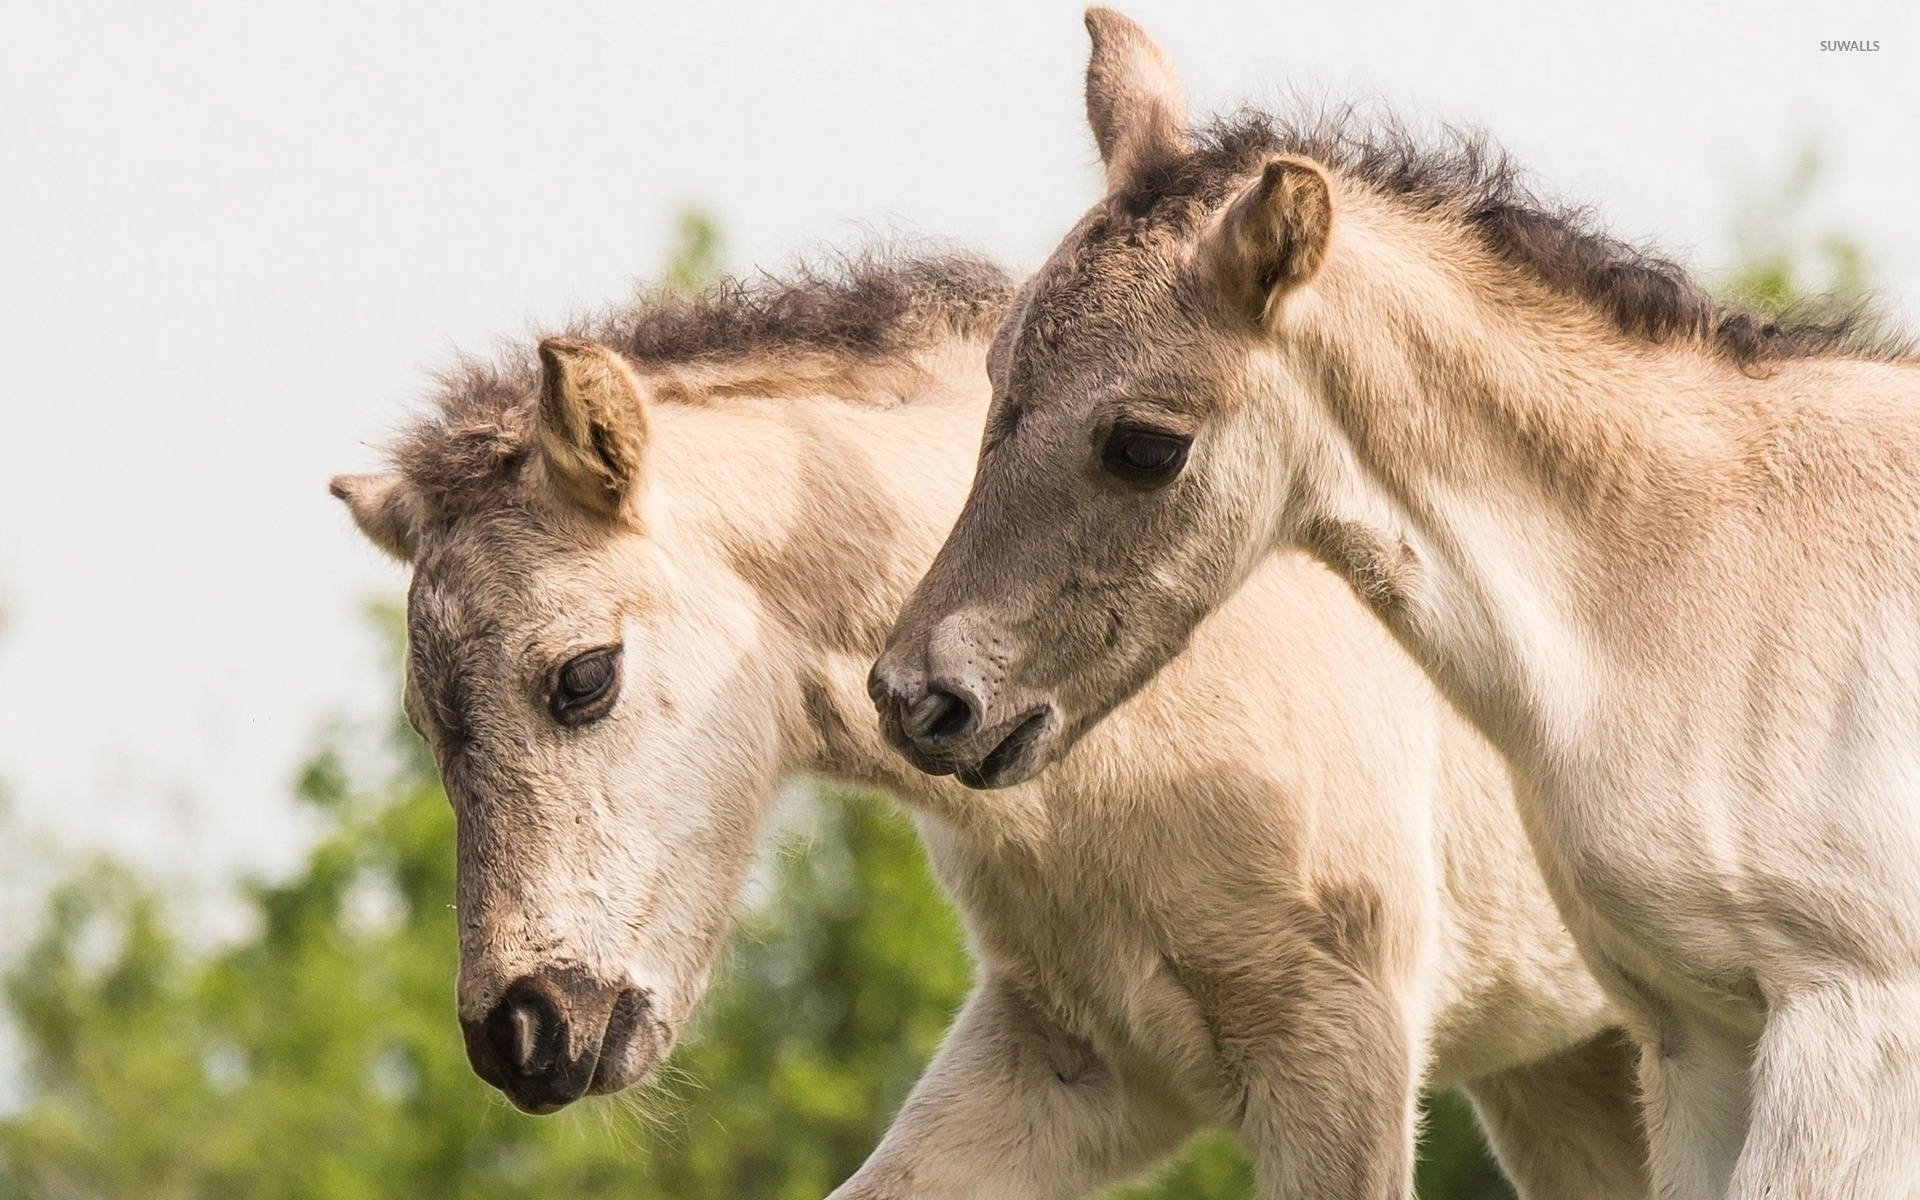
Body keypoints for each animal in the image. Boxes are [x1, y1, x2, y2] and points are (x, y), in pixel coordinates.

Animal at [334, 255, 1651, 1198]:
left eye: (583, 678)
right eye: (427, 728)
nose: (521, 1034)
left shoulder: (1339, 1052)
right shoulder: (1078, 1063)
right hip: (1564, 1067)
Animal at [875, 11, 1920, 1198]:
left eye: (1144, 445)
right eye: (994, 375)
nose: (920, 699)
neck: (1701, 583)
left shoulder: (1852, 1024)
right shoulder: (1697, 1038)